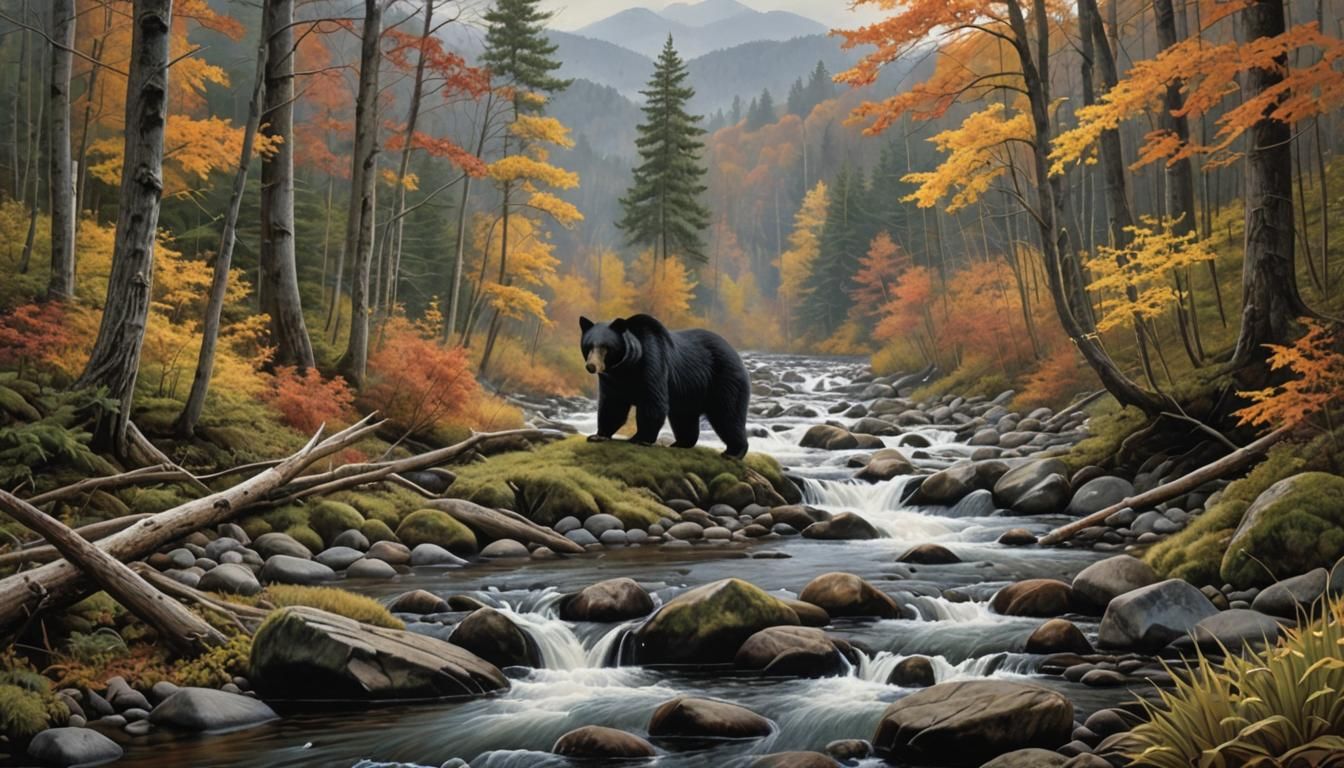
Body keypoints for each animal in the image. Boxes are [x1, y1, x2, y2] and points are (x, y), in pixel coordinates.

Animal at [579, 314, 750, 459]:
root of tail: (734, 352)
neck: (627, 367)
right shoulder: (612, 381)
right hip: (689, 392)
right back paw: (680, 443)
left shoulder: (653, 365)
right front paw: (598, 435)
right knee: (684, 418)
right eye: (588, 346)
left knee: (728, 415)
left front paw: (639, 438)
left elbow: (652, 402)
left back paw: (733, 452)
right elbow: (612, 406)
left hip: (724, 380)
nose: (591, 366)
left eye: (605, 347)